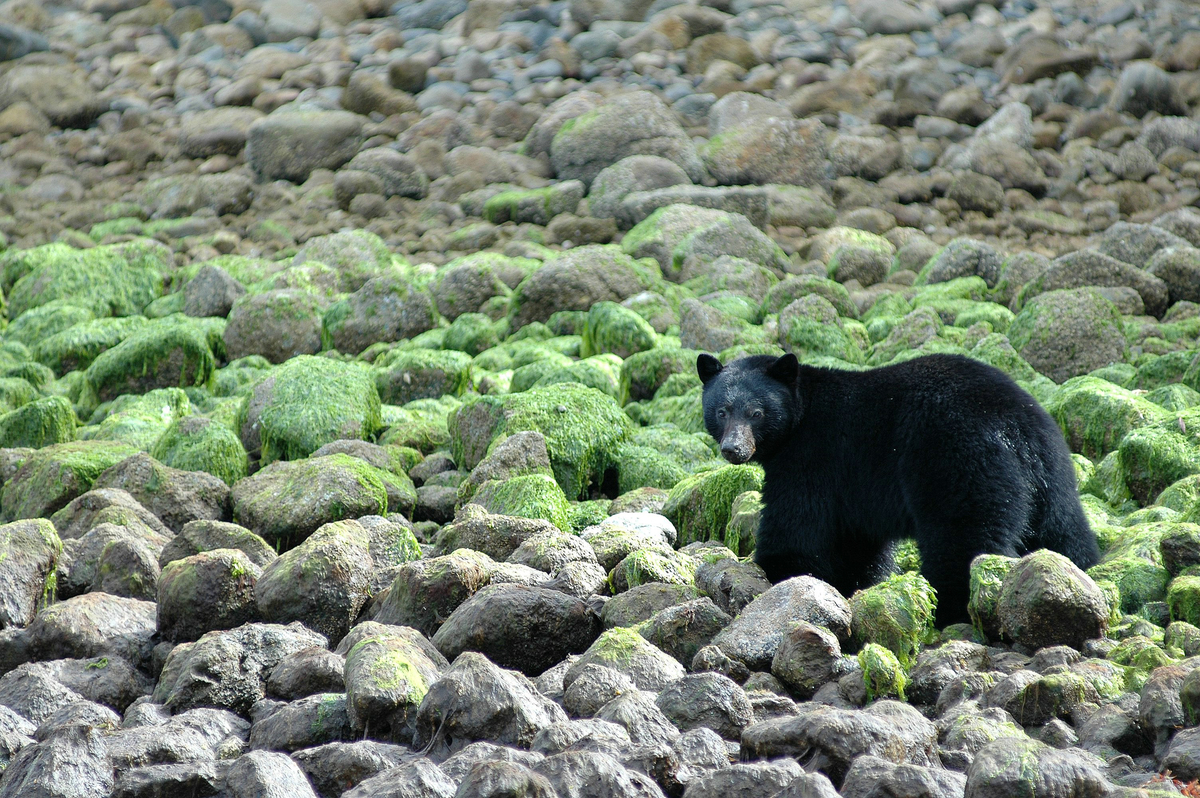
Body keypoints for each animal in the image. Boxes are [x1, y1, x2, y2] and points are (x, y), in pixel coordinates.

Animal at [700, 352, 1099, 624]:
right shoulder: (854, 488)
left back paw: (950, 610)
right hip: (1053, 477)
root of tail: (1014, 427)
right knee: (1064, 533)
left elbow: (796, 524)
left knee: (965, 540)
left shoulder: (813, 459)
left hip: (959, 463)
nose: (733, 449)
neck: (801, 412)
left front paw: (776, 570)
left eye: (756, 412)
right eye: (721, 410)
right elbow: (855, 544)